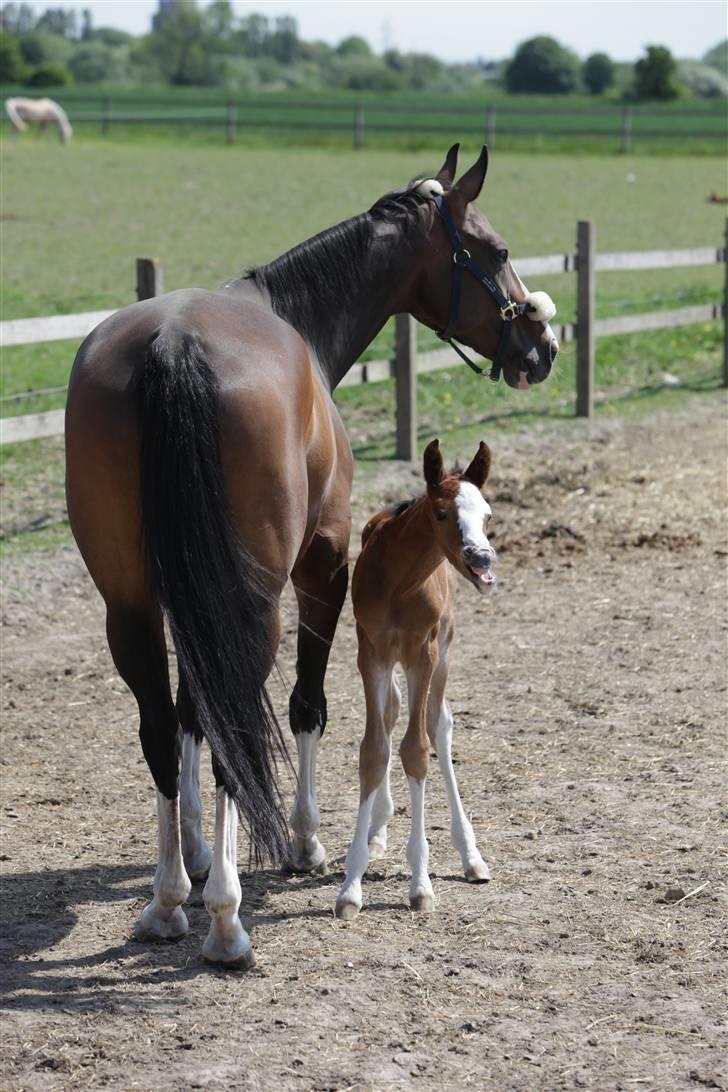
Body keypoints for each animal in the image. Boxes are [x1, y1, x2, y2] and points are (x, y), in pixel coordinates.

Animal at [336, 438, 495, 917]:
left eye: (488, 515)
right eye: (442, 513)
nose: (483, 559)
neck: (400, 583)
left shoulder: (423, 652)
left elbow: (417, 748)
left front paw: (420, 883)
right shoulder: (370, 652)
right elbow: (374, 749)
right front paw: (350, 885)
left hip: (441, 653)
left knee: (437, 723)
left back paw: (470, 855)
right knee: (392, 715)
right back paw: (377, 830)